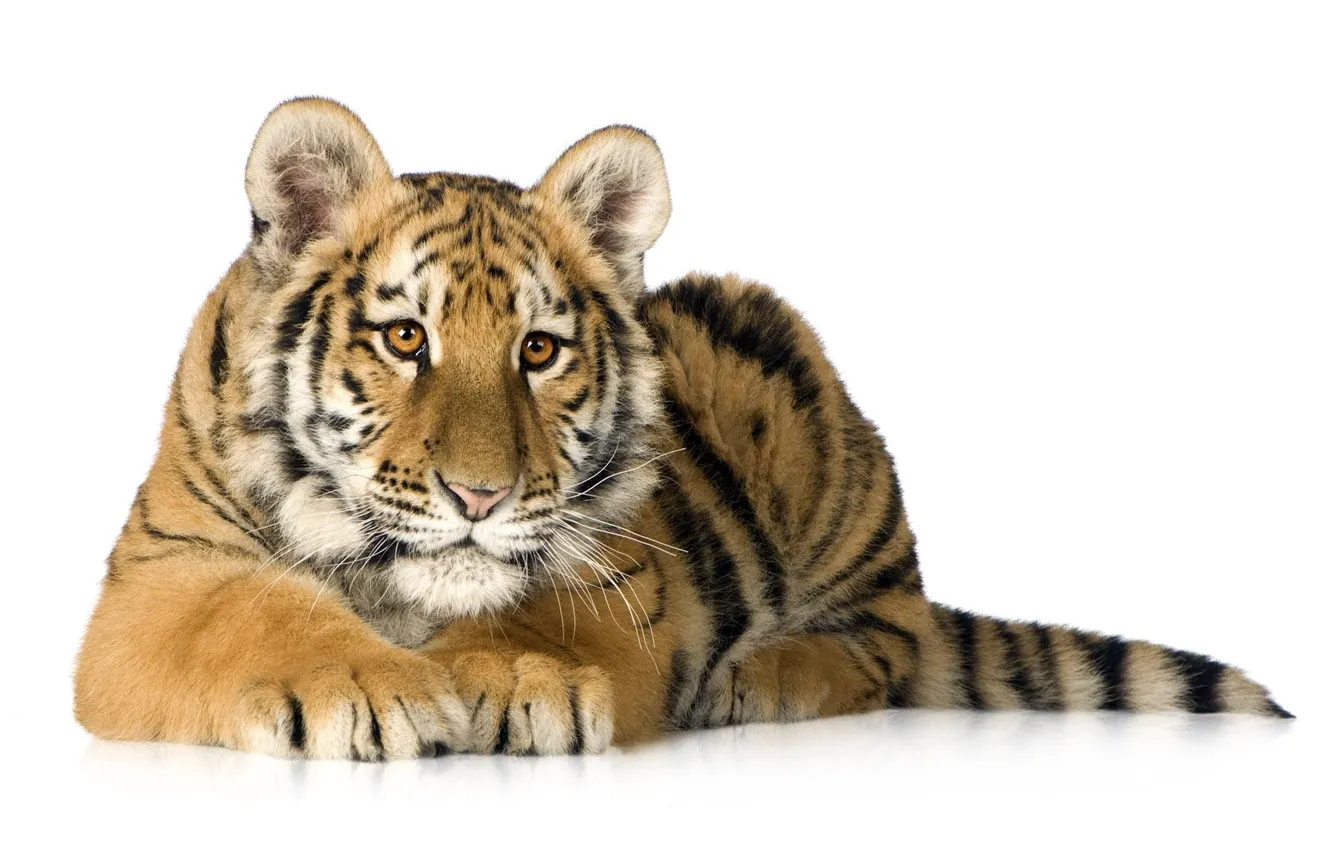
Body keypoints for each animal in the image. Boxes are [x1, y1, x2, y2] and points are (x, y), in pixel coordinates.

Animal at [73, 97, 1291, 759]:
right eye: (406, 338)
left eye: (539, 351)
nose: (479, 497)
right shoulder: (159, 578)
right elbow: (254, 613)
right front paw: (369, 687)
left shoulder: (627, 569)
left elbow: (543, 613)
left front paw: (509, 679)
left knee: (891, 639)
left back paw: (766, 676)